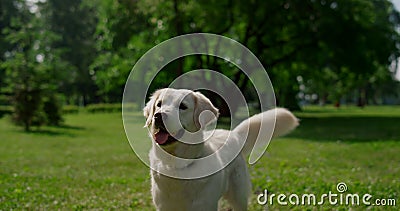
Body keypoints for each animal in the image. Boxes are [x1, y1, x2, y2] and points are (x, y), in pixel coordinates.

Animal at [143, 88, 296, 210]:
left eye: (183, 106)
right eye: (159, 104)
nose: (158, 116)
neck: (176, 165)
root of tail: (233, 134)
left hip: (238, 197)